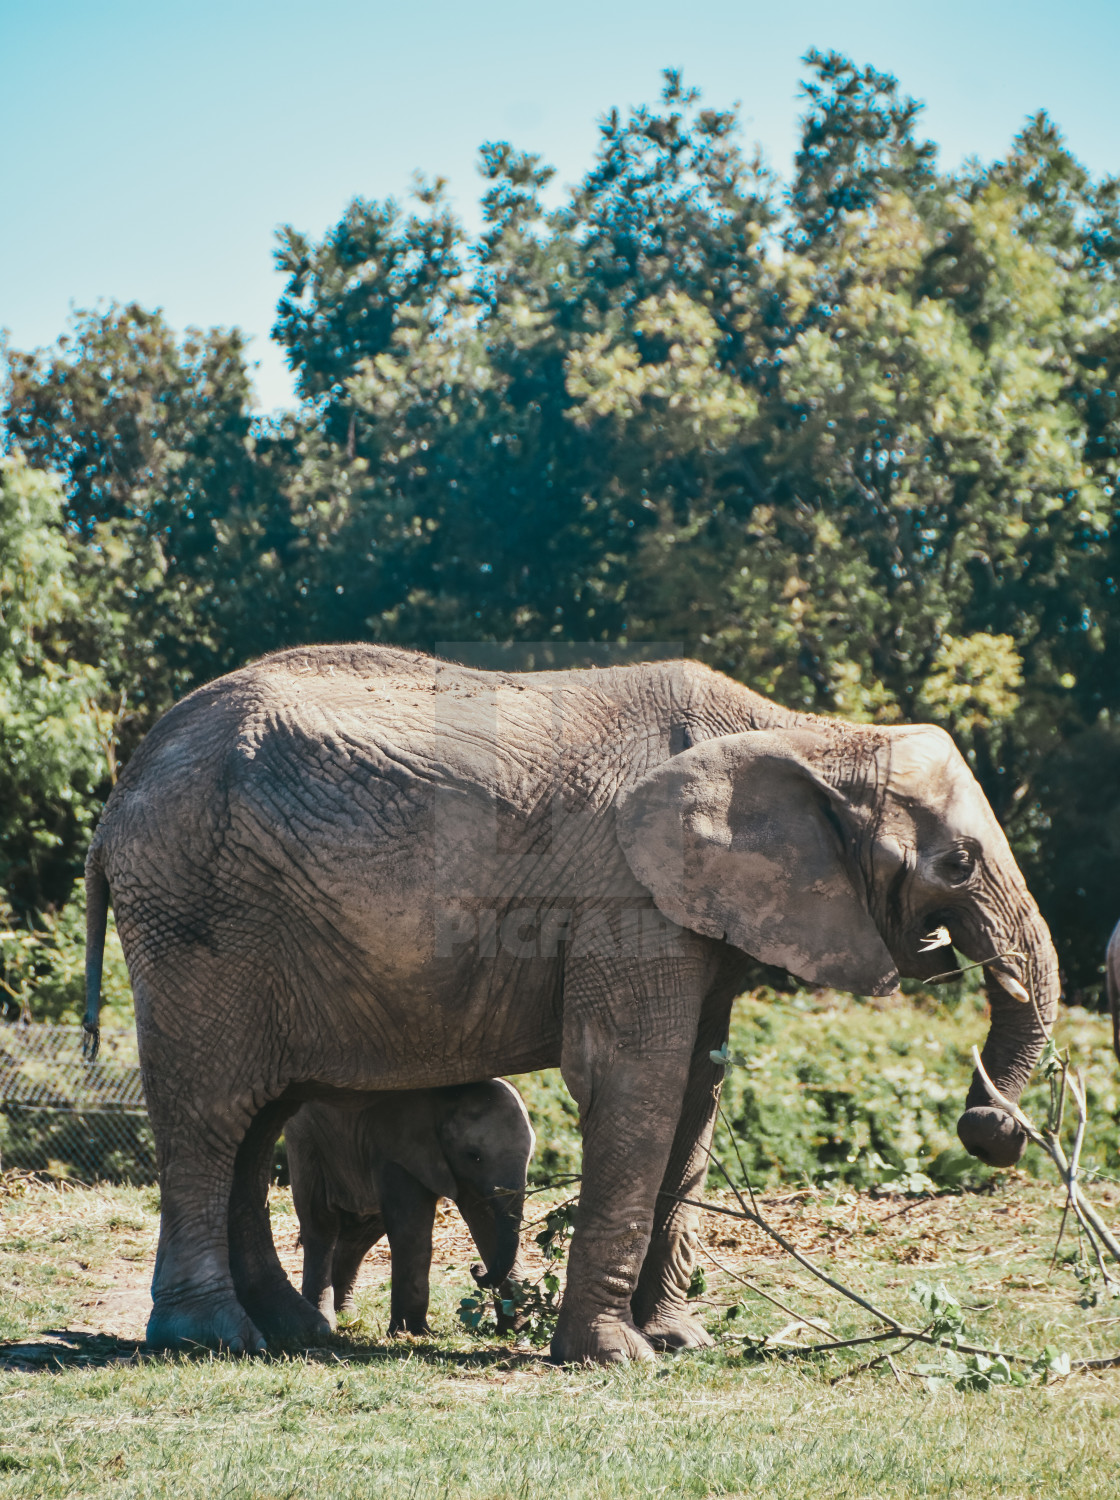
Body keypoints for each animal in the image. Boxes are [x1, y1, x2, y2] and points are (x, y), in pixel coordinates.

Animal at [286, 1080, 536, 1338]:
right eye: (474, 1156)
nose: (475, 1268)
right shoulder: (399, 1147)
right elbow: (411, 1233)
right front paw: (412, 1333)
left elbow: (487, 1224)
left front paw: (517, 1328)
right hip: (306, 1138)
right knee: (321, 1223)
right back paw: (325, 1320)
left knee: (363, 1232)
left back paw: (347, 1313)